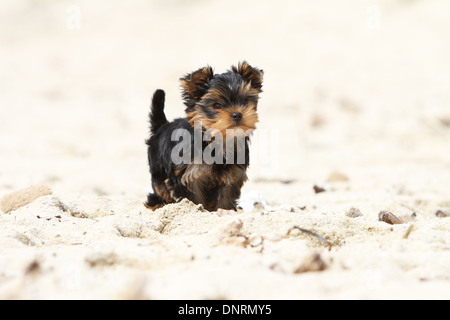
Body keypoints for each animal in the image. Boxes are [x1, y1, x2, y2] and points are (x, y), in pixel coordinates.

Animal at [144, 62, 264, 212]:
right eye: (216, 105)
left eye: (245, 101)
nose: (237, 114)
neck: (217, 138)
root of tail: (162, 126)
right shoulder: (189, 175)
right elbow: (193, 198)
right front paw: (195, 210)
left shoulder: (233, 174)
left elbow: (226, 196)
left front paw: (225, 210)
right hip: (158, 170)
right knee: (160, 188)